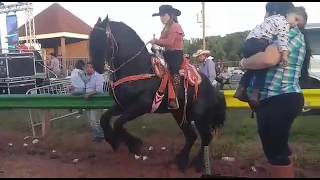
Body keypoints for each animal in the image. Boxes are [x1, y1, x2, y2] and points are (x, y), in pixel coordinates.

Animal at [89, 16, 226, 172]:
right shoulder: (122, 106)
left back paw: (197, 163)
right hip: (180, 114)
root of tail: (213, 89)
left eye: (101, 38)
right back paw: (181, 160)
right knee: (191, 136)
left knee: (206, 137)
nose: (96, 66)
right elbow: (104, 119)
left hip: (199, 116)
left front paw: (134, 144)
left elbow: (118, 123)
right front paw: (113, 140)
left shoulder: (140, 106)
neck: (138, 68)